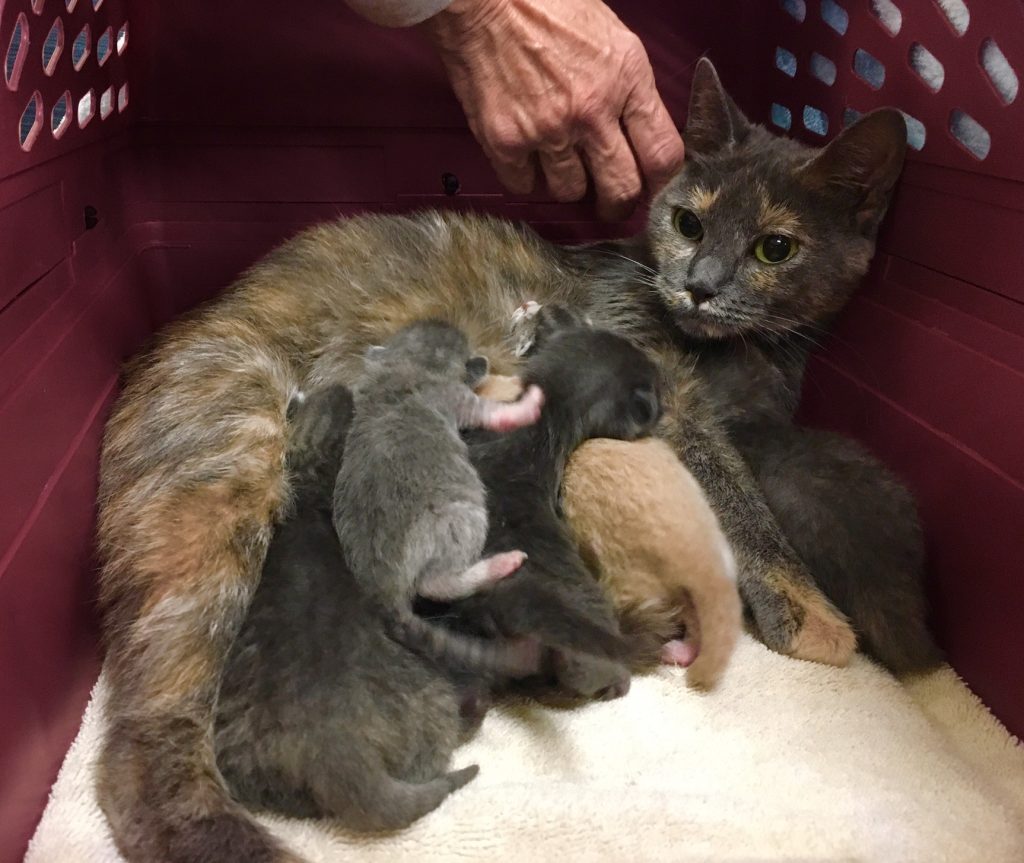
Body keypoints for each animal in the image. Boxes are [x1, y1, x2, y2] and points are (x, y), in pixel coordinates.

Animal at [333, 321, 544, 679]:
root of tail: (383, 590)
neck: (407, 363)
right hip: (462, 516)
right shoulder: (456, 397)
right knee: (437, 584)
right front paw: (529, 403)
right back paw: (499, 564)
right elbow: (492, 414)